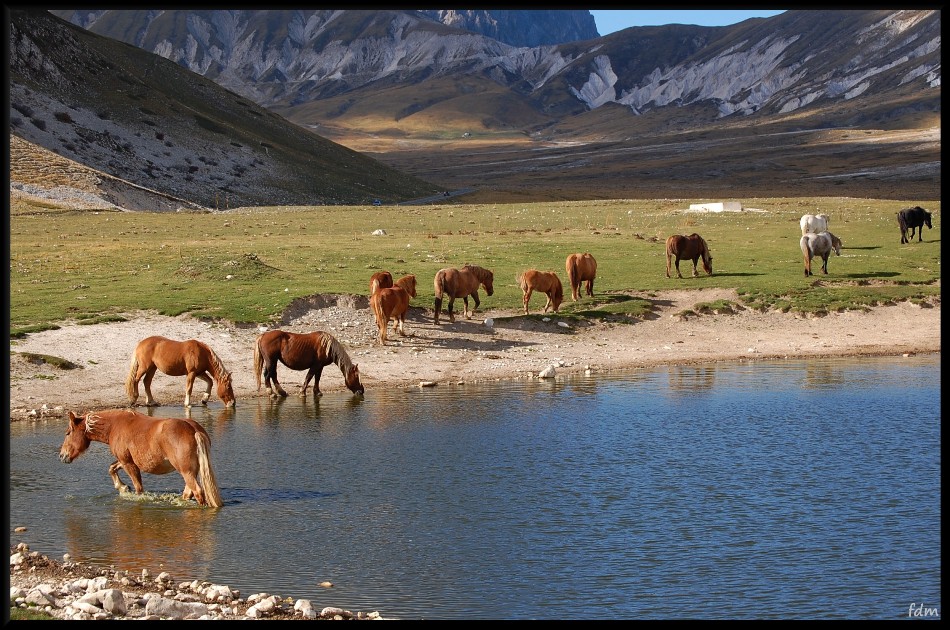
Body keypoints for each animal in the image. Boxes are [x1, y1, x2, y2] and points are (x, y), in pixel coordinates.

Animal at [60, 410, 225, 508]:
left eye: (68, 432)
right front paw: (122, 487)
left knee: (197, 491)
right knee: (188, 492)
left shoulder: (128, 463)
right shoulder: (125, 461)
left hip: (186, 472)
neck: (114, 425)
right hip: (191, 472)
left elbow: (138, 488)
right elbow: (112, 468)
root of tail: (193, 429)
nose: (62, 455)